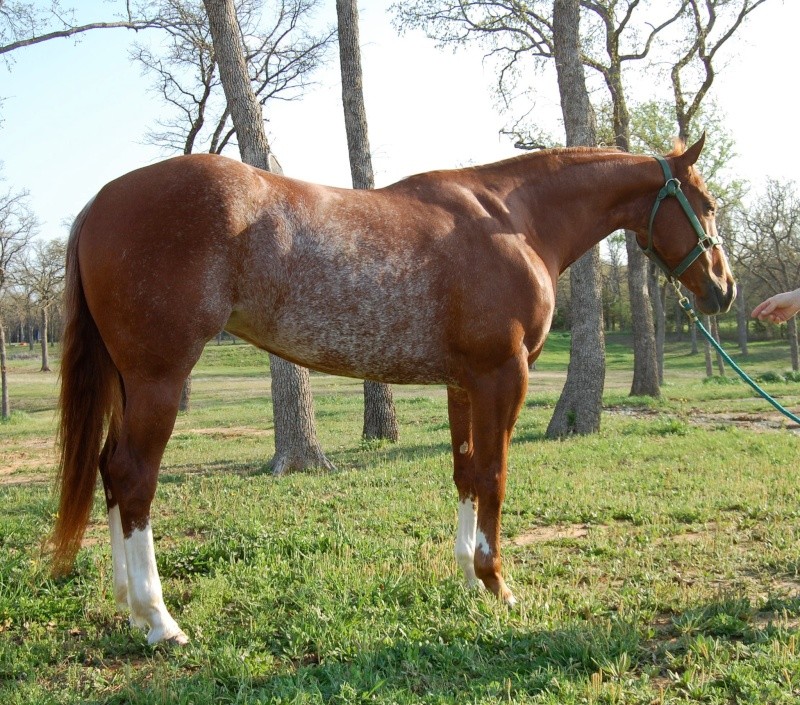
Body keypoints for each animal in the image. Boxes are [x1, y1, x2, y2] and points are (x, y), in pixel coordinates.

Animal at [53, 133, 736, 644]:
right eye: (705, 204)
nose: (722, 291)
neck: (513, 221)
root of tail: (102, 200)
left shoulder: (465, 383)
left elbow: (466, 473)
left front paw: (468, 578)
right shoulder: (503, 376)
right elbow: (495, 475)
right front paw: (498, 584)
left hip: (130, 382)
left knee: (110, 470)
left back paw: (129, 608)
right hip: (159, 379)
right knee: (135, 478)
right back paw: (159, 619)